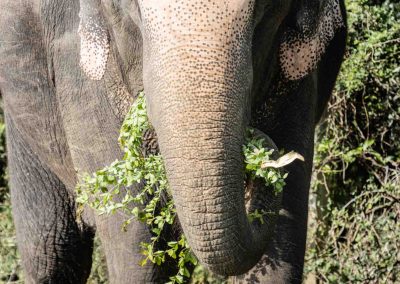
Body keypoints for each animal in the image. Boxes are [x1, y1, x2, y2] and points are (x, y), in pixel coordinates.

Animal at [0, 0, 346, 282]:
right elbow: (140, 252)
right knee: (51, 251)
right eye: (135, 13)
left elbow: (280, 251)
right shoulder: (79, 74)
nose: (261, 148)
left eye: (263, 11)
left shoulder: (297, 79)